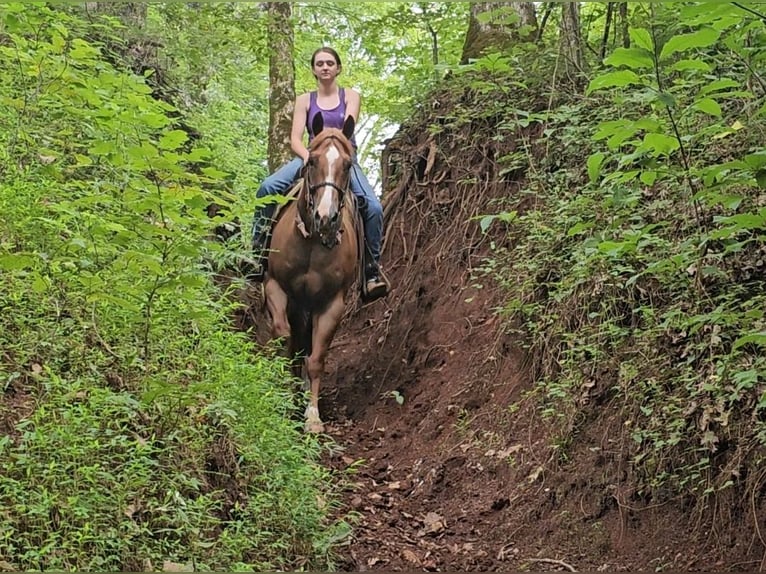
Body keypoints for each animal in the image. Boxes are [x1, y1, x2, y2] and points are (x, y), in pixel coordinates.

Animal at [264, 112, 360, 434]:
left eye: (348, 164)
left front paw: (313, 415)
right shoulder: (276, 287)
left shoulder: (332, 303)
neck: (311, 243)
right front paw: (284, 397)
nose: (325, 218)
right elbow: (285, 340)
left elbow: (316, 358)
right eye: (312, 160)